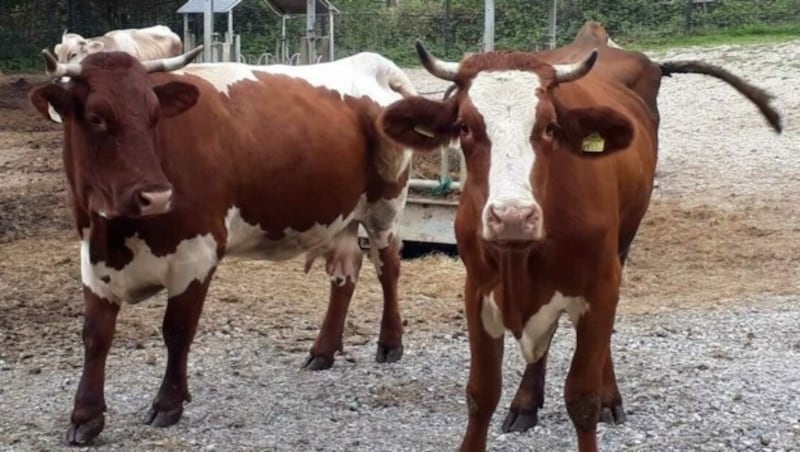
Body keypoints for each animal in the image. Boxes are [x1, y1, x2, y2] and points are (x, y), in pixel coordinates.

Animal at [27, 46, 412, 444]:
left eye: (154, 116)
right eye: (95, 117)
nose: (156, 196)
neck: (115, 234)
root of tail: (371, 63)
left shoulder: (195, 255)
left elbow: (177, 330)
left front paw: (169, 402)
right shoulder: (92, 259)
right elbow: (96, 336)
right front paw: (85, 415)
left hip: (385, 208)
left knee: (389, 269)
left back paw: (390, 343)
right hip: (342, 217)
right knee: (344, 277)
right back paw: (323, 351)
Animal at [380, 40, 780, 450]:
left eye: (550, 127)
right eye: (464, 127)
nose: (513, 217)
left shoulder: (601, 286)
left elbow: (582, 398)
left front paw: (599, 399)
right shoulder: (477, 289)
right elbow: (481, 393)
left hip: (623, 245)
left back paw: (610, 397)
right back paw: (526, 402)